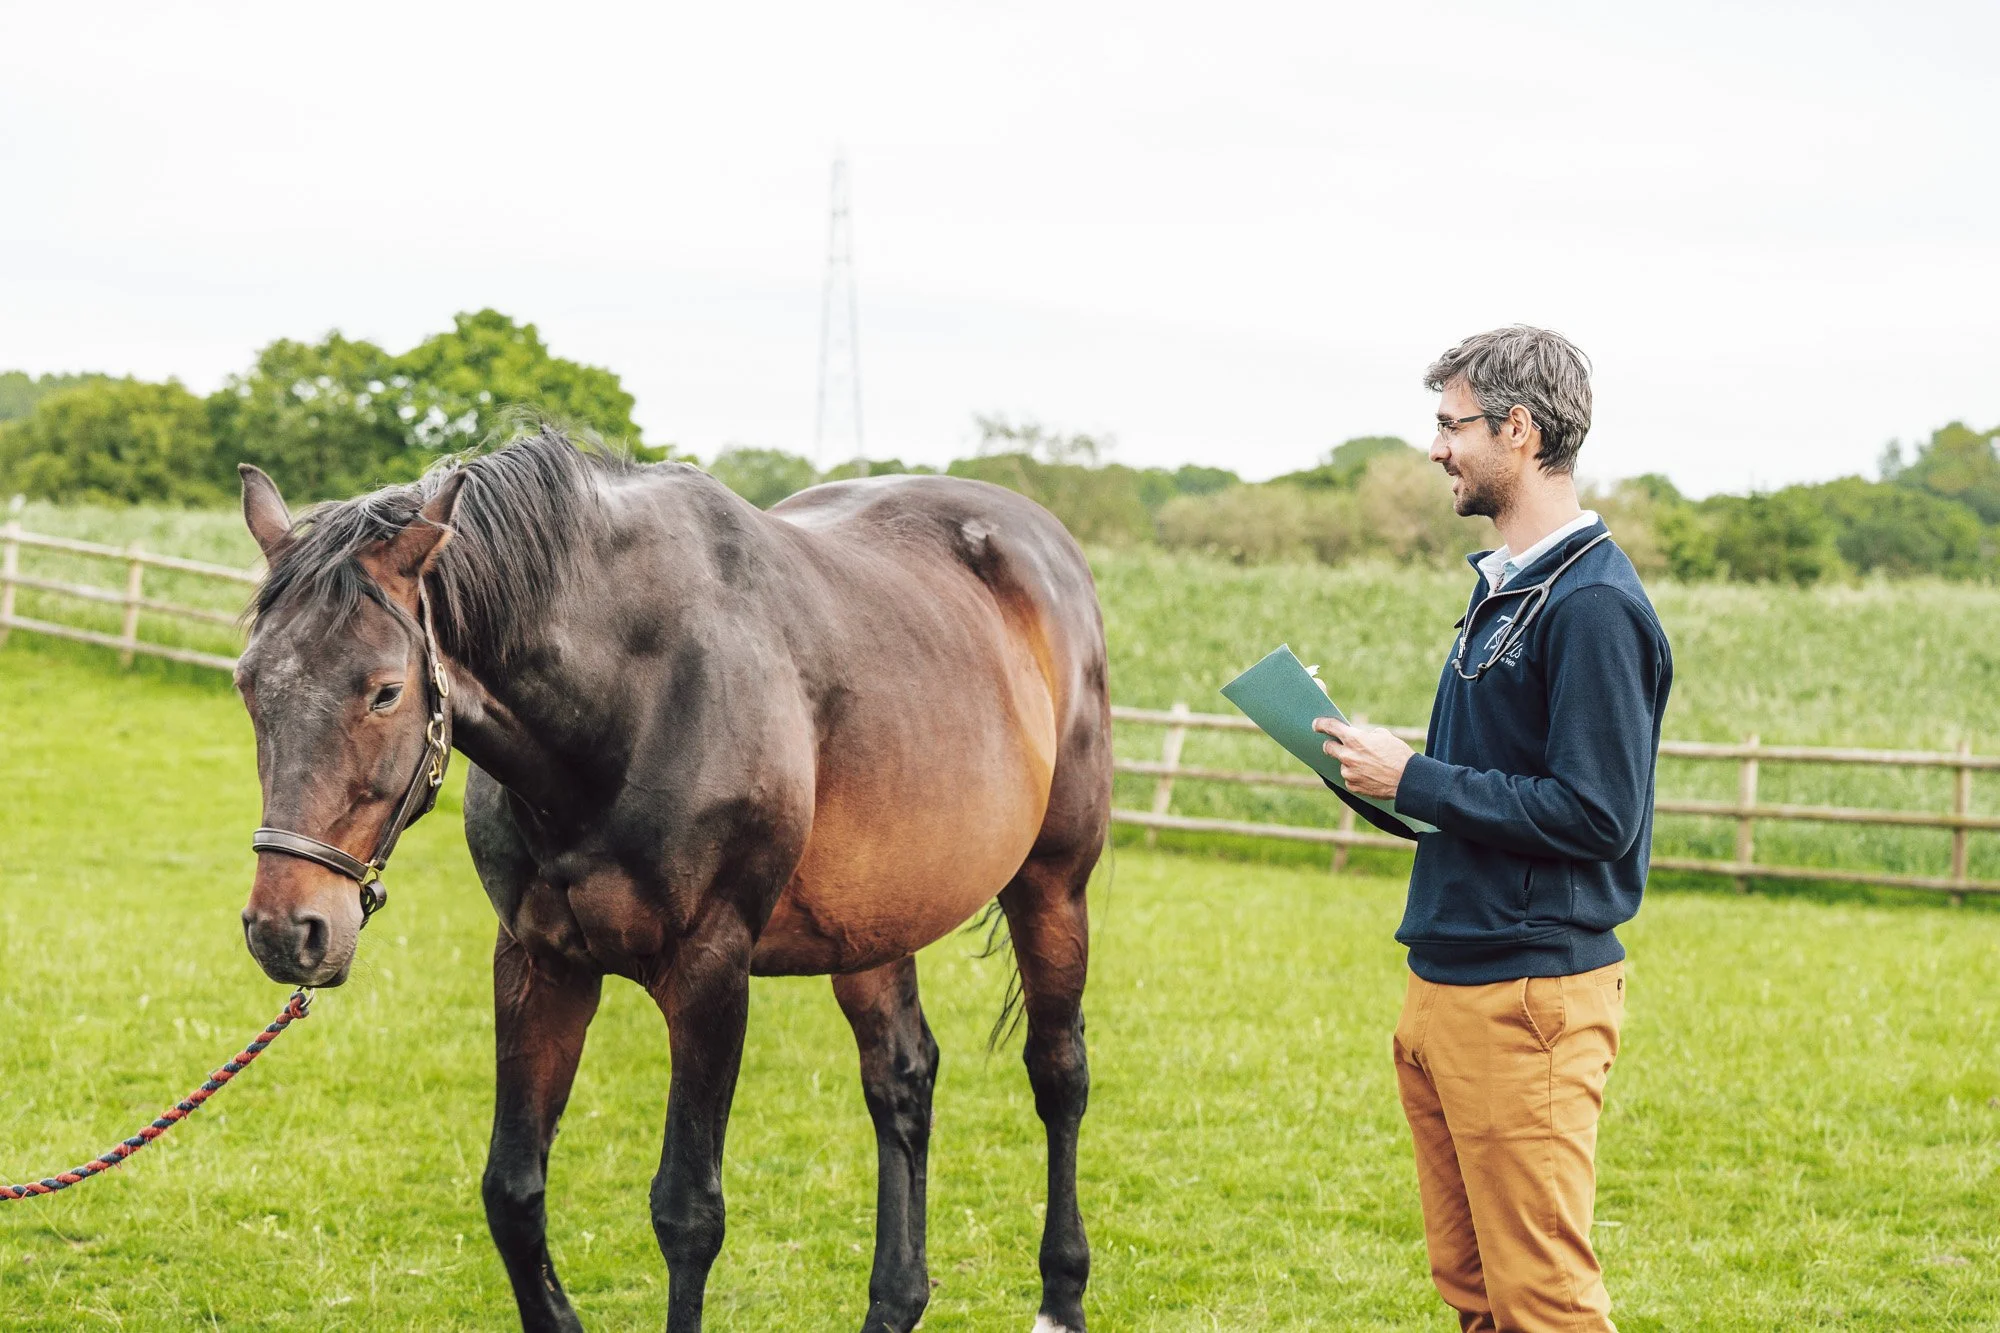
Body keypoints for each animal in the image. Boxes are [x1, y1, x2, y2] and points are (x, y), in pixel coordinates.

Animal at [232, 428, 1111, 1333]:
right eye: (248, 684)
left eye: (385, 691)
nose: (287, 928)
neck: (630, 696)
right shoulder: (539, 963)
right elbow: (512, 1189)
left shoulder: (709, 969)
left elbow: (688, 1211)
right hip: (871, 925)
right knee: (902, 1079)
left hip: (1053, 885)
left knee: (1059, 1072)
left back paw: (1061, 1296)